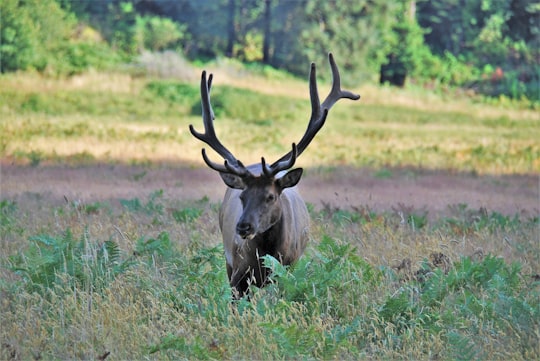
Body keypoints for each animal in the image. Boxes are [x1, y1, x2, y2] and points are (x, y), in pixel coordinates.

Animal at [190, 52, 358, 296]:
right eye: (242, 197)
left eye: (270, 196)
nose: (243, 226)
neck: (266, 256)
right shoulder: (238, 273)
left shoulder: (287, 270)